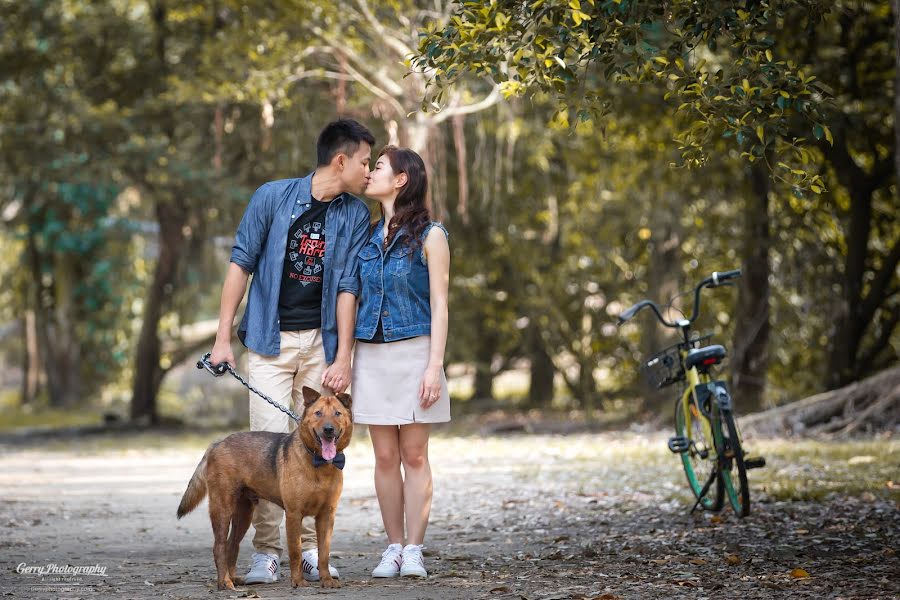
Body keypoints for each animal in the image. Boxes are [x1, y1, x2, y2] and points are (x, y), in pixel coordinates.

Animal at [176, 386, 352, 588]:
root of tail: (216, 444)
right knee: (219, 547)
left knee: (231, 546)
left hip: (243, 514)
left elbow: (324, 553)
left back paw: (234, 578)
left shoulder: (326, 515)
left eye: (337, 413)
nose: (328, 430)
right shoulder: (294, 514)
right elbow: (295, 551)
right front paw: (298, 581)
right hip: (222, 509)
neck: (320, 463)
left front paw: (327, 579)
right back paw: (225, 582)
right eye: (318, 413)